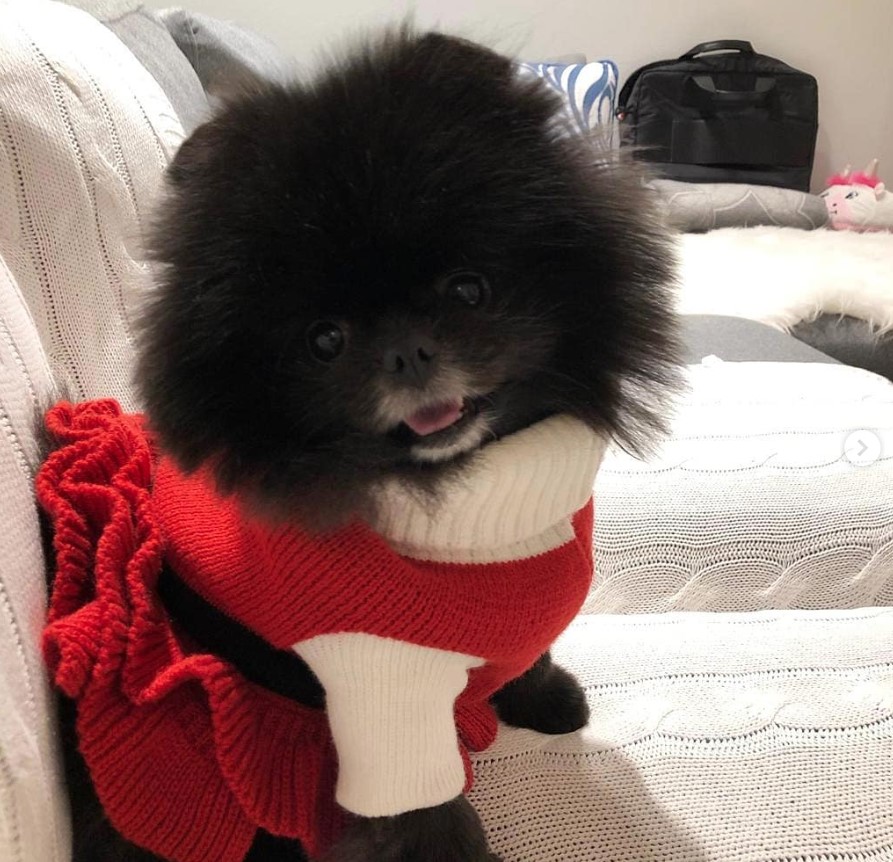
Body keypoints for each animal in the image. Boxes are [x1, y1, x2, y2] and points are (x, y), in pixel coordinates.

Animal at [57, 27, 676, 862]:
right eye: (324, 341)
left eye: (467, 289)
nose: (406, 351)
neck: (481, 514)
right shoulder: (379, 688)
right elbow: (420, 812)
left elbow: (534, 654)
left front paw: (545, 699)